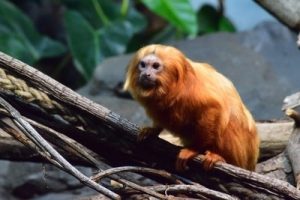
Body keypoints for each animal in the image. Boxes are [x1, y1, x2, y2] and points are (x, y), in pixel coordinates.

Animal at [123, 44, 258, 171]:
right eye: (143, 65)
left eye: (155, 66)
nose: (146, 74)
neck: (172, 86)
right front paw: (153, 130)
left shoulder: (193, 91)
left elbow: (213, 107)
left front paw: (194, 149)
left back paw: (220, 157)